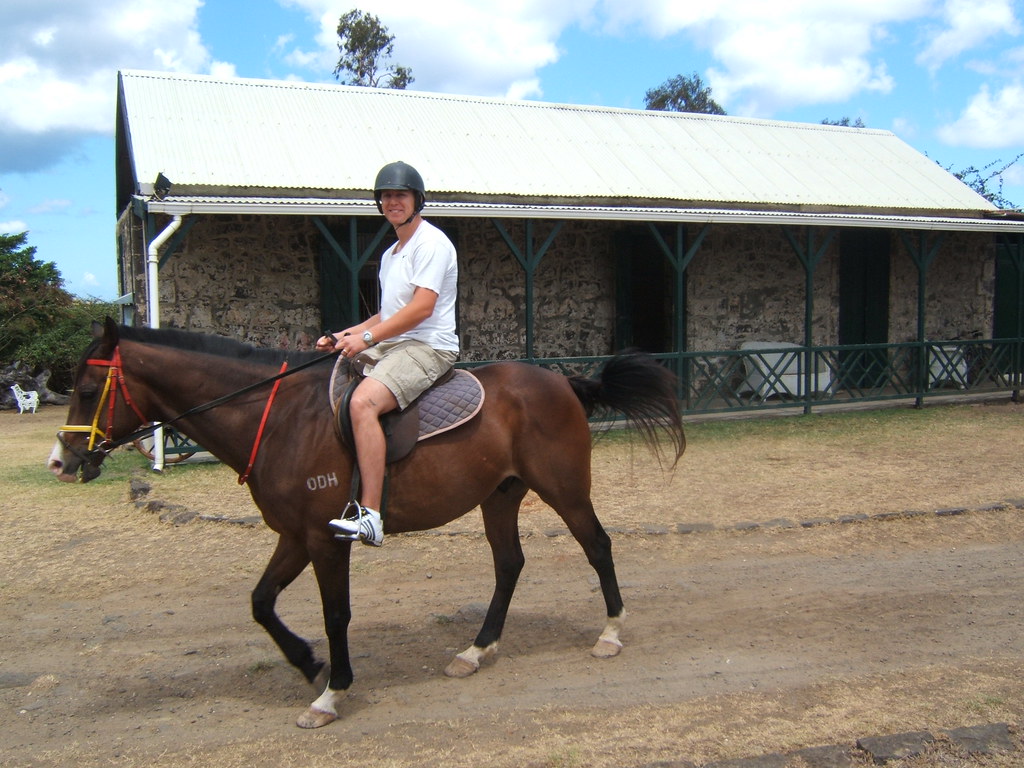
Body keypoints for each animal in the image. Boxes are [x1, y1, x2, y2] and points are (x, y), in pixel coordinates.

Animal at [48, 318, 685, 728]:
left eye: (86, 389)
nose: (62, 462)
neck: (280, 417)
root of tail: (563, 381)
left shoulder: (326, 540)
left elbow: (336, 614)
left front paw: (331, 692)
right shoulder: (294, 536)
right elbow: (261, 603)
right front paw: (309, 664)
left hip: (565, 489)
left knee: (597, 545)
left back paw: (610, 633)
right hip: (500, 497)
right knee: (509, 565)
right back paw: (476, 650)